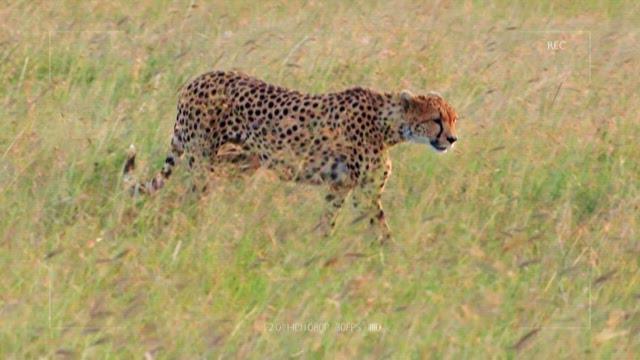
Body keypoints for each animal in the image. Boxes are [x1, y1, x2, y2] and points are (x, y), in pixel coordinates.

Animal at [122, 70, 458, 242]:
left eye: (454, 119)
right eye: (436, 120)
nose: (452, 139)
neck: (389, 124)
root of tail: (197, 79)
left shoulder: (340, 186)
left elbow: (329, 219)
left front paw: (320, 246)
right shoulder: (364, 192)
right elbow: (381, 227)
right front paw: (390, 256)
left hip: (240, 158)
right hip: (202, 158)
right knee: (191, 194)